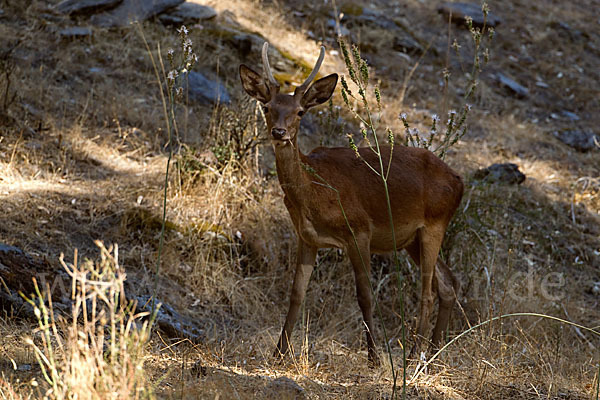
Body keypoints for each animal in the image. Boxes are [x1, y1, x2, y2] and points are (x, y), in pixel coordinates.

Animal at [239, 41, 464, 366]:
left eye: (300, 112)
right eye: (267, 108)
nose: (279, 132)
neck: (315, 193)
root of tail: (460, 182)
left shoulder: (359, 231)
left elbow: (365, 295)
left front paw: (374, 358)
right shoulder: (307, 237)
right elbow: (296, 294)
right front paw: (278, 354)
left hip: (435, 223)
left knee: (428, 292)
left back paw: (414, 355)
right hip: (412, 239)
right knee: (448, 284)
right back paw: (432, 355)